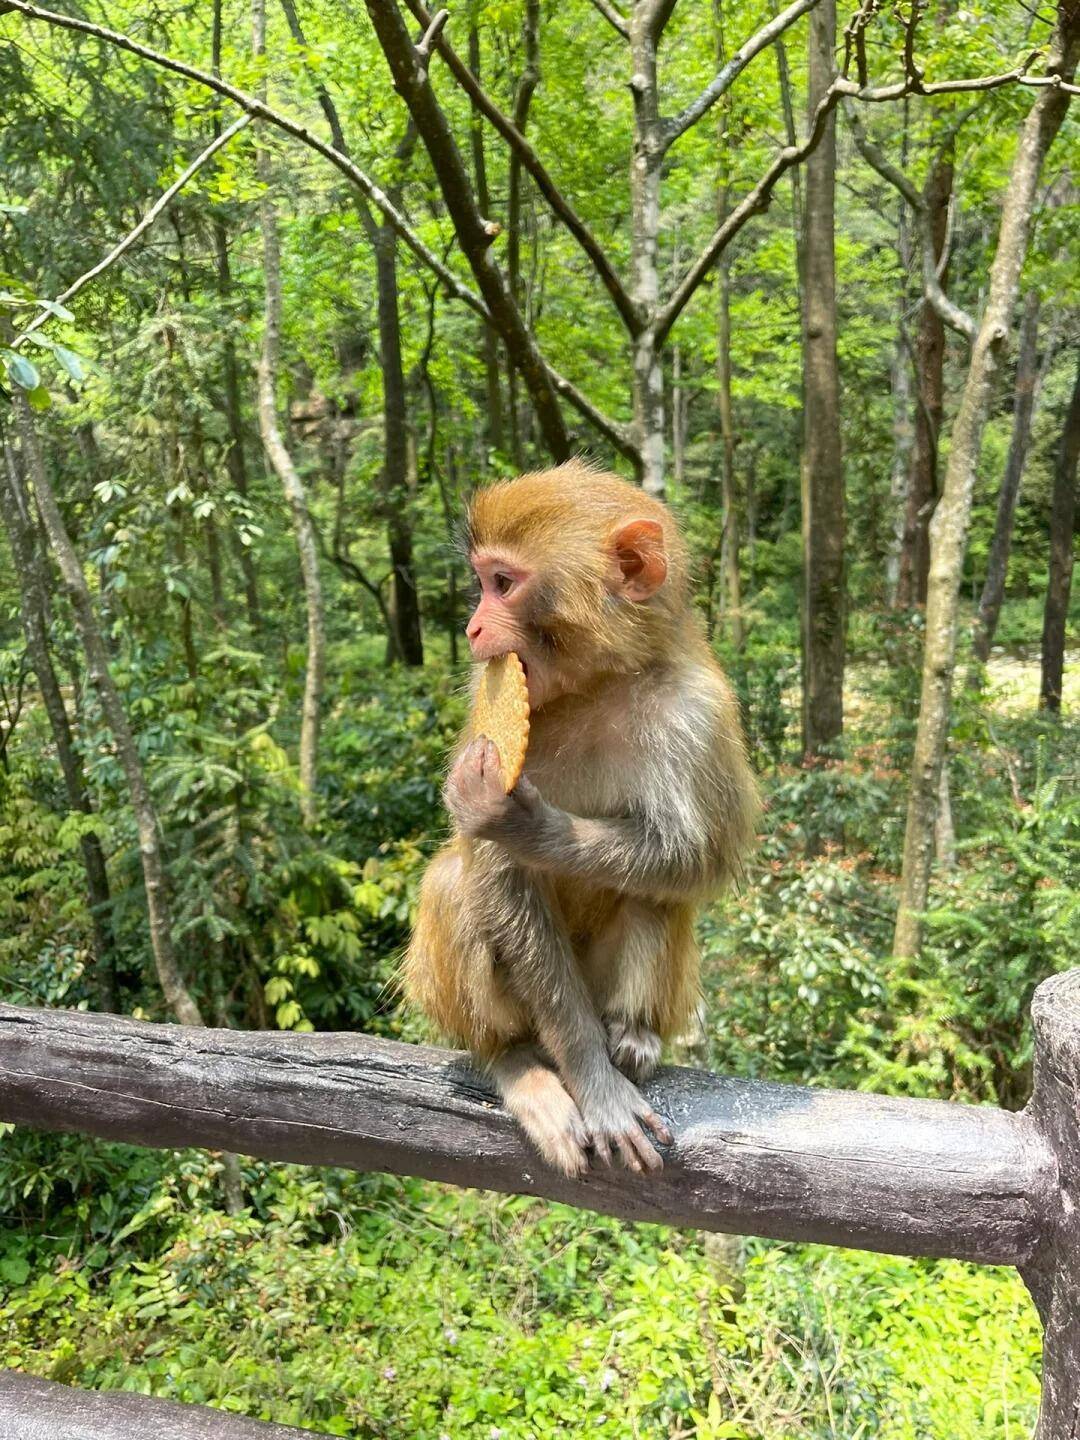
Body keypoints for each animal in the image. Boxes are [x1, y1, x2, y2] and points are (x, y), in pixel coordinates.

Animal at [406, 466, 760, 1175]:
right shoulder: (484, 702)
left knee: (658, 891)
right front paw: (594, 1084)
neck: (594, 686)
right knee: (457, 884)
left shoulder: (698, 712)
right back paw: (515, 1060)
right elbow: (499, 877)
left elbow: (697, 857)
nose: (473, 630)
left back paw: (633, 1033)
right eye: (481, 582)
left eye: (502, 583)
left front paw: (522, 824)